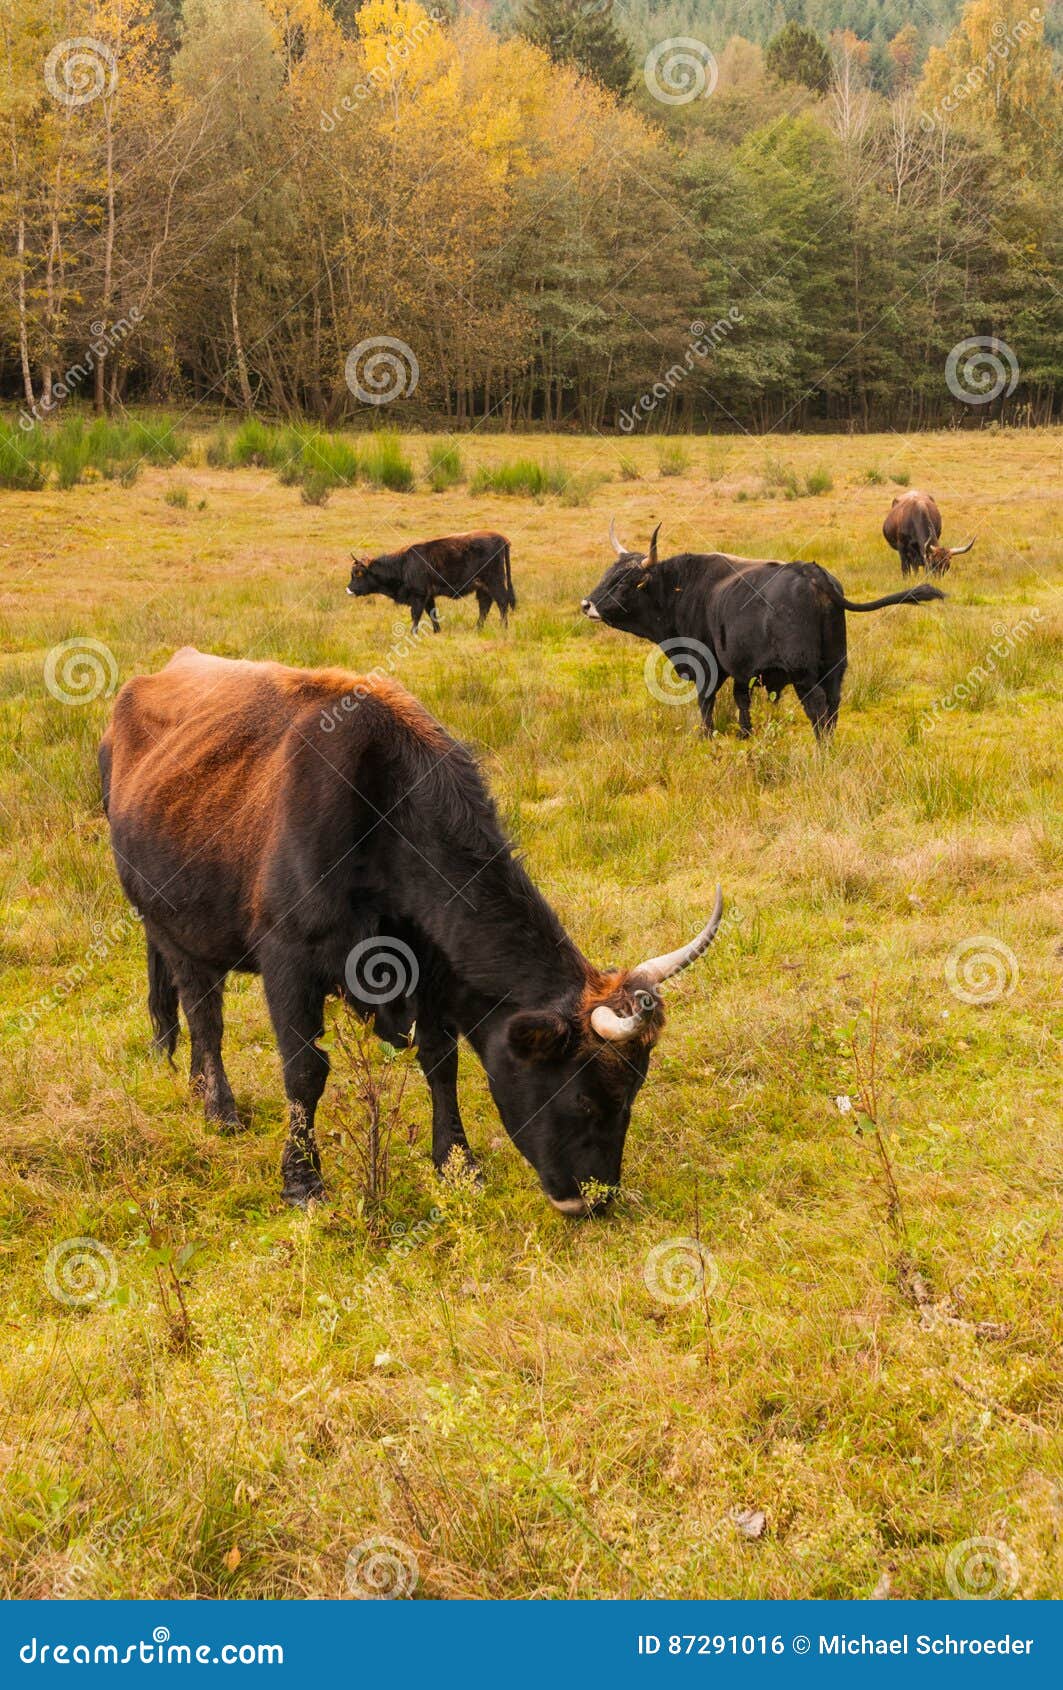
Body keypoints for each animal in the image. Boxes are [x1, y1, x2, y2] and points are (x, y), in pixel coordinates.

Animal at [99, 645, 726, 1216]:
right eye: (587, 1097)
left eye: (633, 1094)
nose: (595, 1202)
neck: (381, 809)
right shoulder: (289, 963)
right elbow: (304, 1072)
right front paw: (302, 1183)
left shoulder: (431, 971)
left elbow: (441, 1062)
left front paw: (457, 1165)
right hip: (171, 924)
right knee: (205, 1013)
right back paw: (217, 1106)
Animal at [348, 530, 513, 632]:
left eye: (358, 573)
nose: (348, 589)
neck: (403, 564)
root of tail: (502, 539)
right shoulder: (429, 597)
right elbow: (432, 613)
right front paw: (437, 631)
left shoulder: (419, 596)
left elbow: (416, 615)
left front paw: (413, 633)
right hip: (483, 587)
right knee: (485, 606)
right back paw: (478, 628)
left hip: (495, 582)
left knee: (502, 602)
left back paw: (503, 628)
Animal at [581, 527, 946, 740]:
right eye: (609, 572)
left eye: (624, 582)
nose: (586, 604)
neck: (684, 589)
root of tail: (813, 574)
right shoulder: (742, 667)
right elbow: (741, 699)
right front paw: (745, 733)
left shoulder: (707, 665)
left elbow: (706, 701)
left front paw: (706, 737)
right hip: (834, 667)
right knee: (832, 707)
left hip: (804, 674)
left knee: (817, 709)